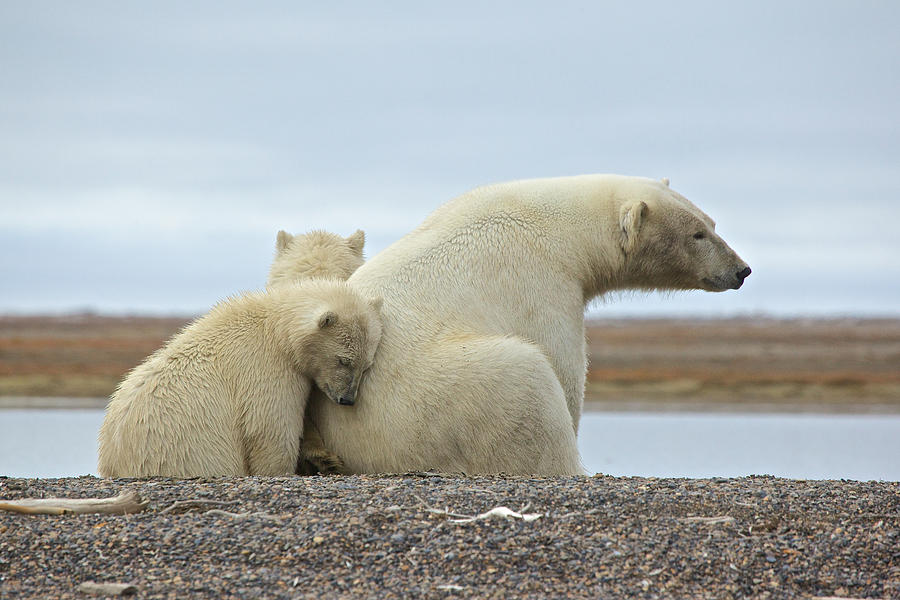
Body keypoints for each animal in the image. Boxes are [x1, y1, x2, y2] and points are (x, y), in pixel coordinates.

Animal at [98, 280, 384, 478]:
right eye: (344, 360)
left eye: (366, 365)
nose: (347, 399)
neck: (276, 331)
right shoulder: (265, 369)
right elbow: (269, 429)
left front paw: (326, 460)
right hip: (185, 452)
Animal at [306, 172, 748, 474]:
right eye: (697, 234)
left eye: (711, 223)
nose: (741, 270)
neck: (565, 231)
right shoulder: (543, 285)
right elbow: (563, 368)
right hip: (431, 403)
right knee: (526, 382)